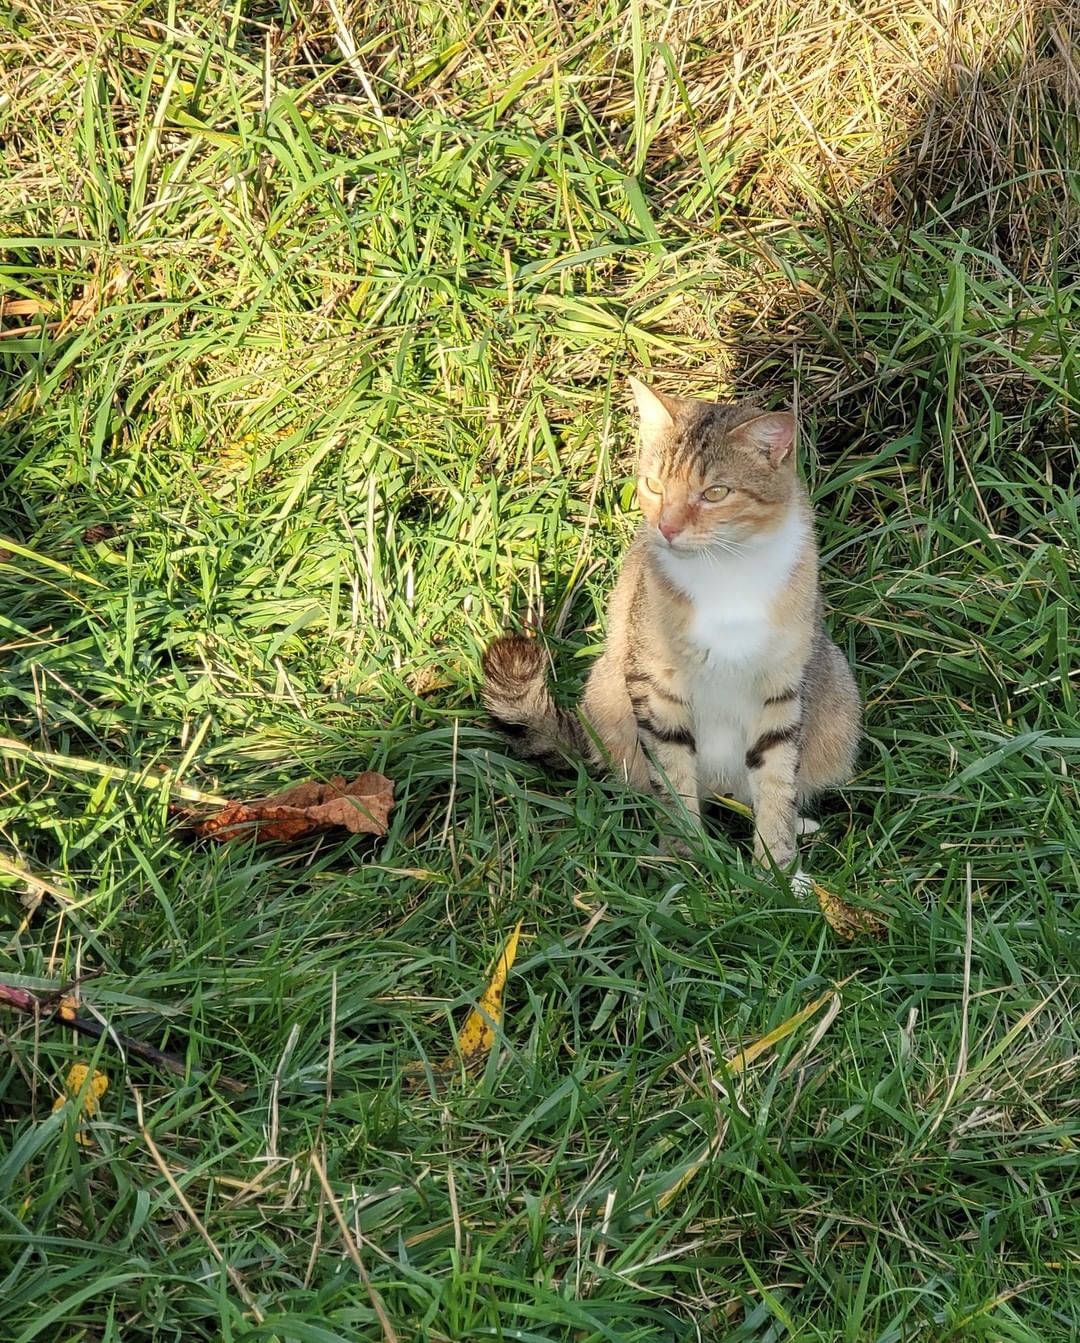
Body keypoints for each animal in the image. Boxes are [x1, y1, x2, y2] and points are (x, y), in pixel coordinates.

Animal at [483, 376, 859, 870]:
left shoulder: (782, 685)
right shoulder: (654, 682)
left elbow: (777, 778)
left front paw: (777, 867)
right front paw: (689, 857)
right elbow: (673, 775)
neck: (726, 570)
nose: (666, 528)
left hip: (838, 705)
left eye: (715, 493)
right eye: (654, 484)